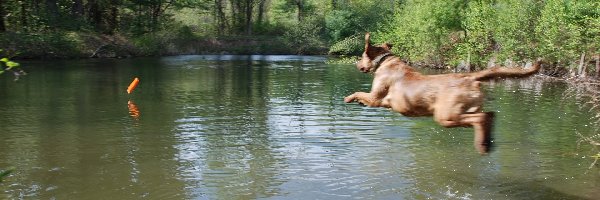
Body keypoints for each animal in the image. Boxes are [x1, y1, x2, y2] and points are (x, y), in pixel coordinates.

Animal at [344, 33, 540, 155]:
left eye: (361, 56)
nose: (356, 64)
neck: (384, 61)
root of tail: (469, 76)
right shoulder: (383, 102)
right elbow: (362, 97)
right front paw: (357, 102)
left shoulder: (375, 98)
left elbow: (358, 92)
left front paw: (348, 98)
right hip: (464, 111)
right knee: (489, 115)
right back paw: (486, 143)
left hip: (445, 115)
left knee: (481, 118)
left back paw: (482, 146)